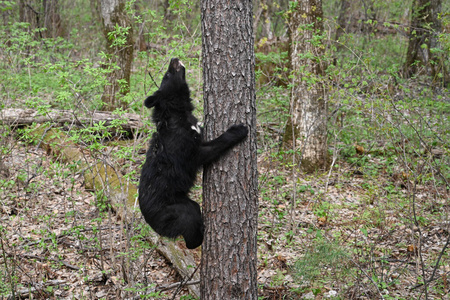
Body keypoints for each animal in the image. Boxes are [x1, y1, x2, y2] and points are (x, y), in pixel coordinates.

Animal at [139, 58, 248, 248]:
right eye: (167, 75)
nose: (173, 59)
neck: (177, 114)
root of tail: (149, 222)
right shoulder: (184, 147)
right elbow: (209, 149)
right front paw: (239, 130)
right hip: (177, 210)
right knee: (191, 227)